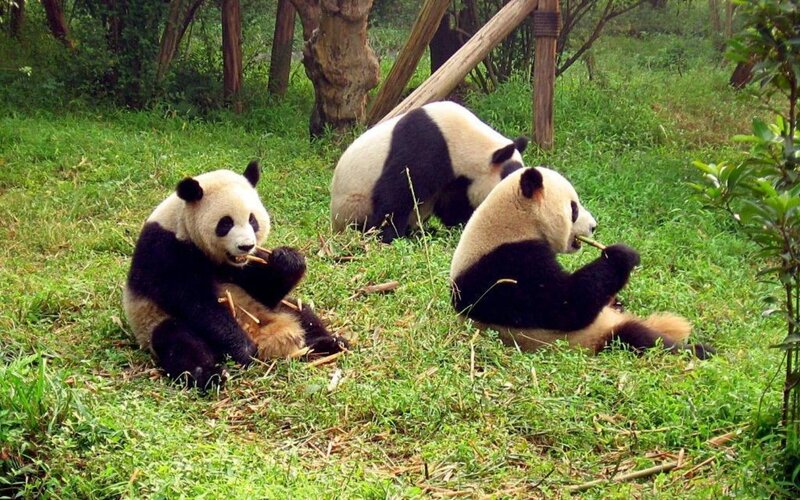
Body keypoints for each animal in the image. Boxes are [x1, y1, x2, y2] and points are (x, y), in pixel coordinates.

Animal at [123, 161, 347, 388]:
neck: (182, 223)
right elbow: (196, 304)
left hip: (272, 309)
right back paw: (211, 374)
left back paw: (330, 343)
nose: (246, 246)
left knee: (301, 311)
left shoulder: (243, 265)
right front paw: (242, 348)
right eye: (226, 223)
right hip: (154, 321)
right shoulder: (164, 251)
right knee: (178, 340)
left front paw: (287, 260)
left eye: (252, 220)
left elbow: (266, 289)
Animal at [330, 101, 528, 243]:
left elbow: (453, 203)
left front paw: (464, 225)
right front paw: (387, 236)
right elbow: (397, 193)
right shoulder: (425, 146)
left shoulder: (456, 178)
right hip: (353, 204)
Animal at [449, 166, 714, 358]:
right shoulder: (506, 265)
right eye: (574, 208)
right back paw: (699, 350)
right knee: (639, 338)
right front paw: (621, 255)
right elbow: (565, 304)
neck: (513, 221)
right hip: (596, 336)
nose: (594, 226)